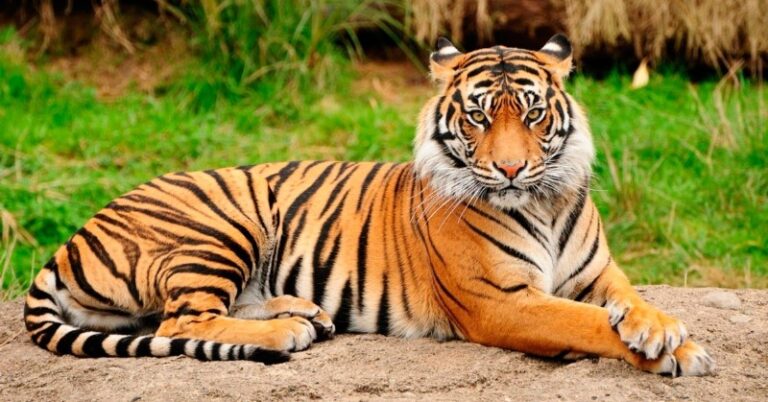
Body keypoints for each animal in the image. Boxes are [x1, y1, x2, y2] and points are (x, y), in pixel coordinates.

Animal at [23, 34, 714, 376]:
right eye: (478, 117)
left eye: (533, 113)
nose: (512, 168)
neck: (541, 202)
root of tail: (73, 236)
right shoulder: (502, 301)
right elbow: (585, 323)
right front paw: (675, 353)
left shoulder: (599, 273)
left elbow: (629, 303)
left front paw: (663, 330)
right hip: (220, 224)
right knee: (178, 322)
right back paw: (286, 330)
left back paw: (305, 313)